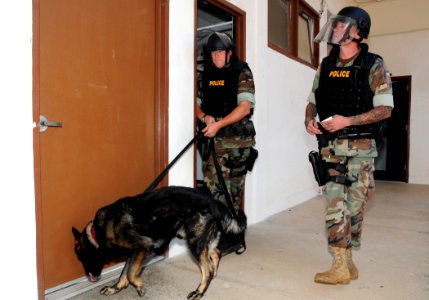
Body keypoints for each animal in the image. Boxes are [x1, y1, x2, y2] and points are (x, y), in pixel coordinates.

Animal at [72, 186, 246, 298]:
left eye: (83, 258)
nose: (90, 277)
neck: (99, 231)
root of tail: (214, 202)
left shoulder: (142, 247)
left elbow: (130, 273)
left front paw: (139, 286)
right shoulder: (134, 252)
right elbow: (124, 273)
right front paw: (115, 288)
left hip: (194, 242)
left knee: (207, 268)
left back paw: (199, 291)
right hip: (200, 238)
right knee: (215, 253)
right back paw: (213, 276)